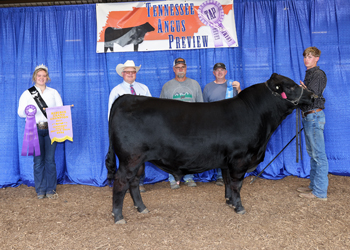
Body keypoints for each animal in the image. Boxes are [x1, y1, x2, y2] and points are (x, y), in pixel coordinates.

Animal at [105, 73, 316, 224]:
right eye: (291, 86)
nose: (314, 96)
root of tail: (125, 98)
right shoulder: (240, 159)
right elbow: (237, 184)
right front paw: (239, 207)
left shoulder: (227, 161)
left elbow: (228, 182)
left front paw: (229, 202)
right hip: (130, 158)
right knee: (121, 182)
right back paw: (118, 216)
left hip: (139, 160)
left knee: (134, 182)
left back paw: (142, 208)